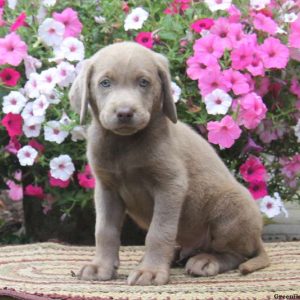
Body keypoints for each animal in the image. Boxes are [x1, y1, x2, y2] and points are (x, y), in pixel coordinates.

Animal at [68, 41, 270, 286]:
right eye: (105, 83)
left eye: (144, 82)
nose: (125, 113)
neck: (124, 144)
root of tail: (257, 237)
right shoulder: (106, 188)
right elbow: (104, 230)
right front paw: (101, 267)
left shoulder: (170, 185)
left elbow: (159, 231)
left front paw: (151, 271)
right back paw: (176, 255)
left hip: (231, 208)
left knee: (235, 254)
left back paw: (206, 261)